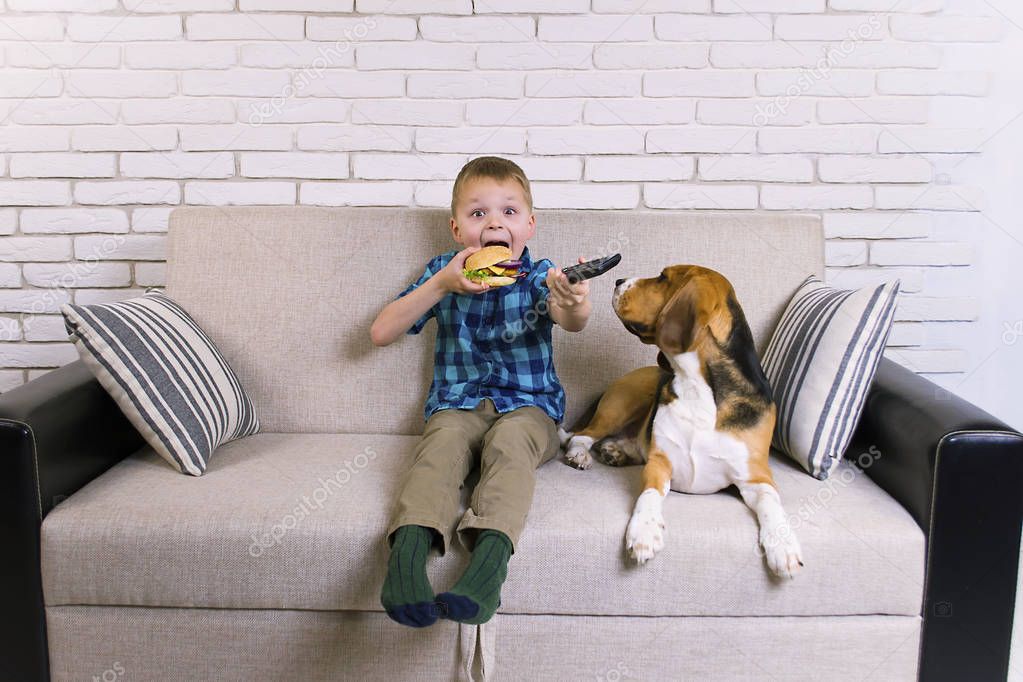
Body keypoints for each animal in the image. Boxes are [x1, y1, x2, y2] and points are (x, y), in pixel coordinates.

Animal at [564, 263, 802, 580]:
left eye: (663, 277)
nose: (618, 280)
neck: (697, 384)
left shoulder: (756, 475)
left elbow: (771, 503)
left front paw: (783, 545)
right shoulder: (660, 463)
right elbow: (649, 495)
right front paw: (644, 531)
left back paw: (615, 451)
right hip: (625, 401)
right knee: (582, 436)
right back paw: (581, 455)